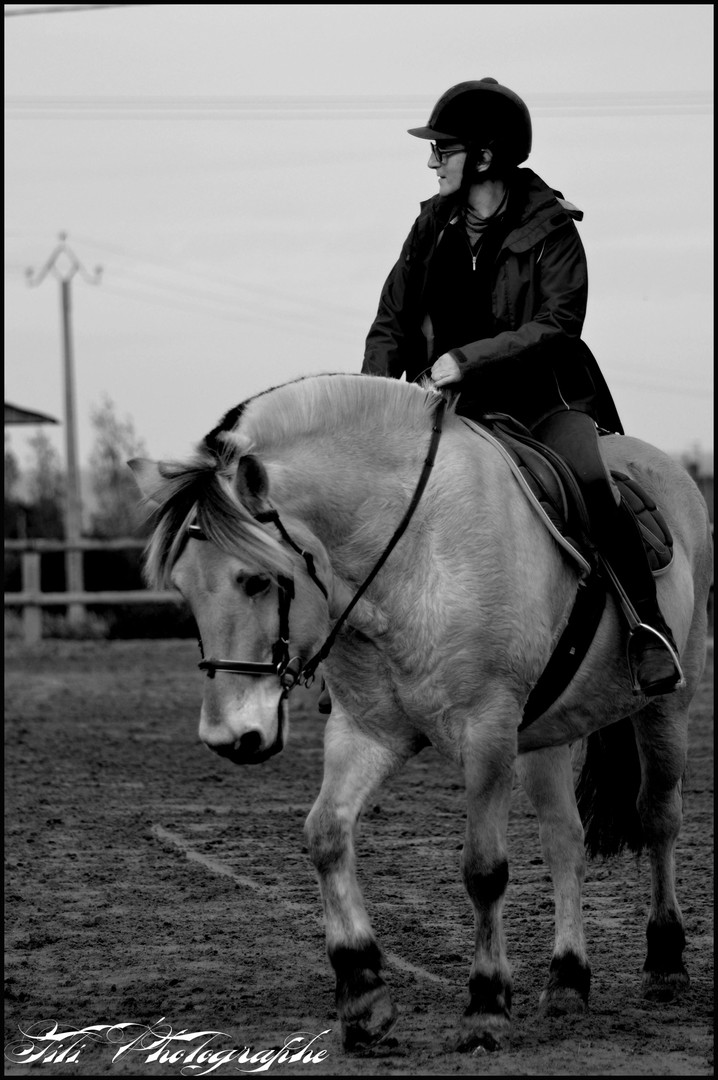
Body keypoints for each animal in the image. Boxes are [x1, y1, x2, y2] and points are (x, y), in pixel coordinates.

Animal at [130, 373, 712, 1054]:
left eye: (256, 580)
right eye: (183, 588)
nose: (230, 736)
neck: (411, 550)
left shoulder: (486, 732)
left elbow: (484, 869)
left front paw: (485, 1007)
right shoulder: (366, 732)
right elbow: (326, 835)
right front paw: (363, 994)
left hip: (667, 708)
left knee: (659, 819)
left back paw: (665, 962)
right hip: (545, 734)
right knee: (563, 840)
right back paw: (568, 980)